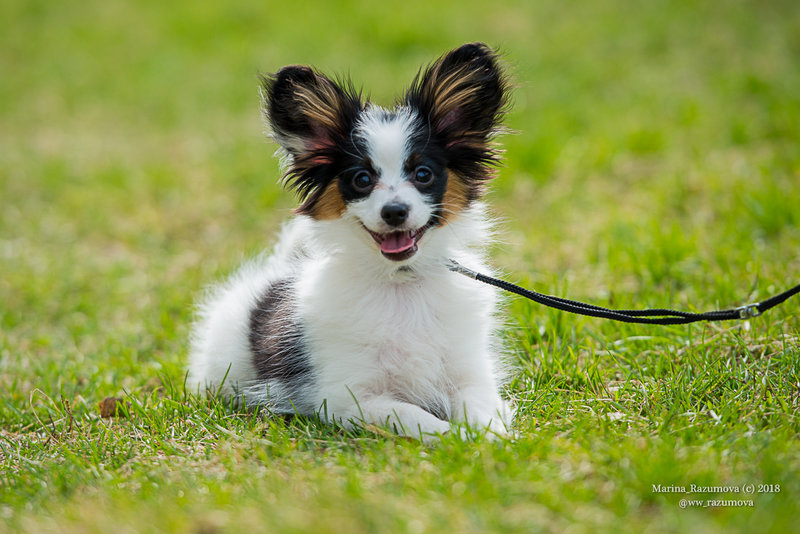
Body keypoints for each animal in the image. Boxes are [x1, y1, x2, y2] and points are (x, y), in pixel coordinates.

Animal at [188, 44, 512, 442]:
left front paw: (493, 440)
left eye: (423, 174)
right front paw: (458, 441)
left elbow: (482, 411)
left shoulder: (471, 376)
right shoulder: (350, 399)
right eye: (361, 179)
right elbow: (416, 417)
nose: (394, 211)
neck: (399, 283)